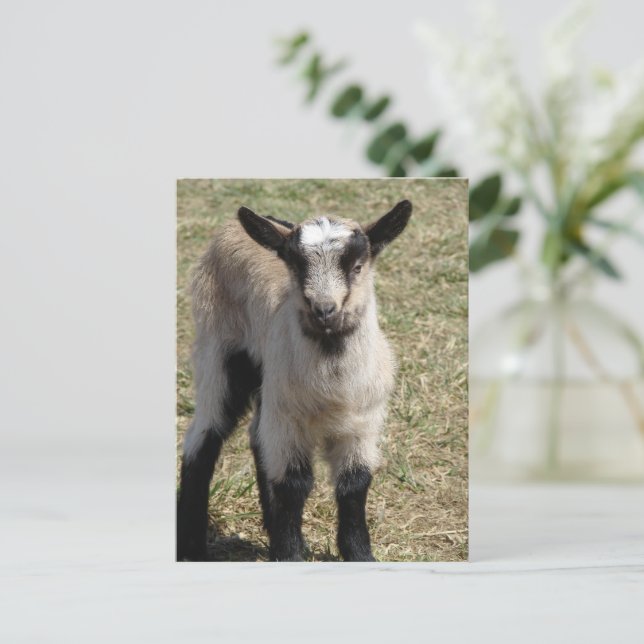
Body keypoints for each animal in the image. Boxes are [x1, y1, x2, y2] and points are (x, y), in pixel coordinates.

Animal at [177, 200, 412, 561]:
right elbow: (293, 483)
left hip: (269, 385)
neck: (332, 386)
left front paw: (359, 555)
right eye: (296, 268)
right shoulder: (289, 419)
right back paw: (191, 548)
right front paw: (288, 555)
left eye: (357, 267)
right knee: (203, 438)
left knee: (257, 438)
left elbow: (355, 483)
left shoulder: (363, 421)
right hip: (219, 355)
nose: (324, 310)